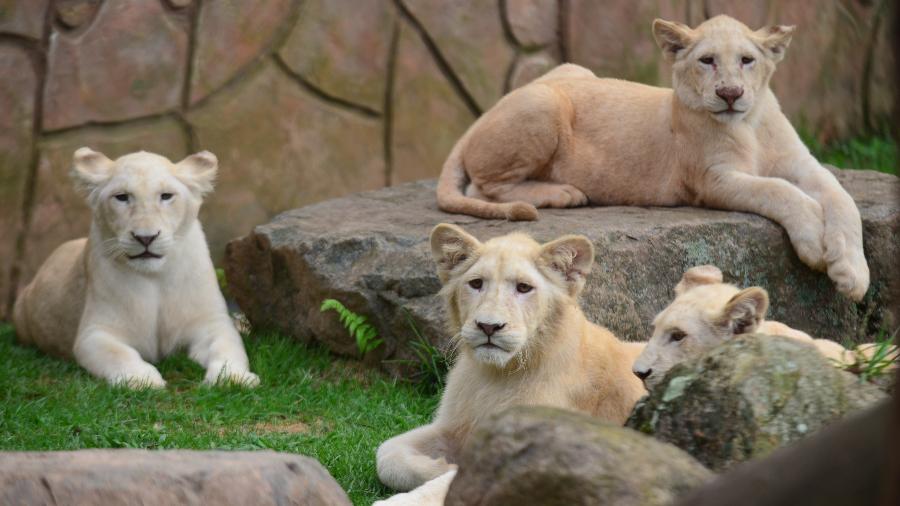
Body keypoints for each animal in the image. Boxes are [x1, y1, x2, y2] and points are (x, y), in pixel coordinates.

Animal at [12, 148, 258, 390]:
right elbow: (118, 354)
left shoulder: (211, 322)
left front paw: (232, 378)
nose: (146, 238)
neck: (155, 277)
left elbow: (228, 347)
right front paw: (143, 380)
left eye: (166, 196)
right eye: (122, 197)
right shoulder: (95, 332)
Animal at [374, 224, 648, 506]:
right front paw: (444, 466)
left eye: (524, 288)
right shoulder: (453, 426)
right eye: (476, 283)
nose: (488, 326)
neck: (495, 375)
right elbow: (386, 453)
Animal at [440, 14, 868, 300]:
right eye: (707, 60)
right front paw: (813, 241)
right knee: (482, 188)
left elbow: (843, 200)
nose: (730, 93)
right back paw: (564, 193)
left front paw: (852, 273)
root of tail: (478, 121)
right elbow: (779, 191)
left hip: (571, 72)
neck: (749, 123)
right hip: (543, 103)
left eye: (747, 60)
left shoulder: (804, 164)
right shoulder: (713, 180)